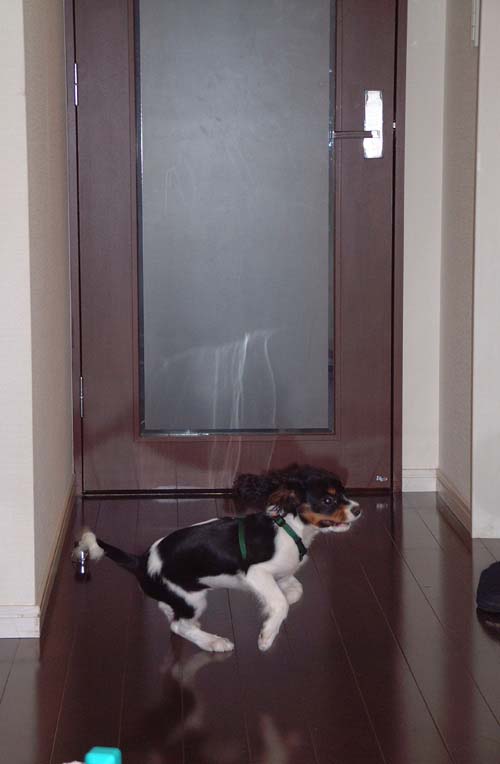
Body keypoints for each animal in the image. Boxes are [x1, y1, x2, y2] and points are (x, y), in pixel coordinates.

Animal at [73, 465, 360, 653]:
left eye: (344, 494)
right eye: (328, 500)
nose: (358, 509)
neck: (290, 527)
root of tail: (141, 561)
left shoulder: (284, 575)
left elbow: (295, 593)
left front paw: (270, 613)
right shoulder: (257, 572)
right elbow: (280, 603)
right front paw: (267, 635)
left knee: (169, 611)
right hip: (193, 599)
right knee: (178, 627)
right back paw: (214, 642)